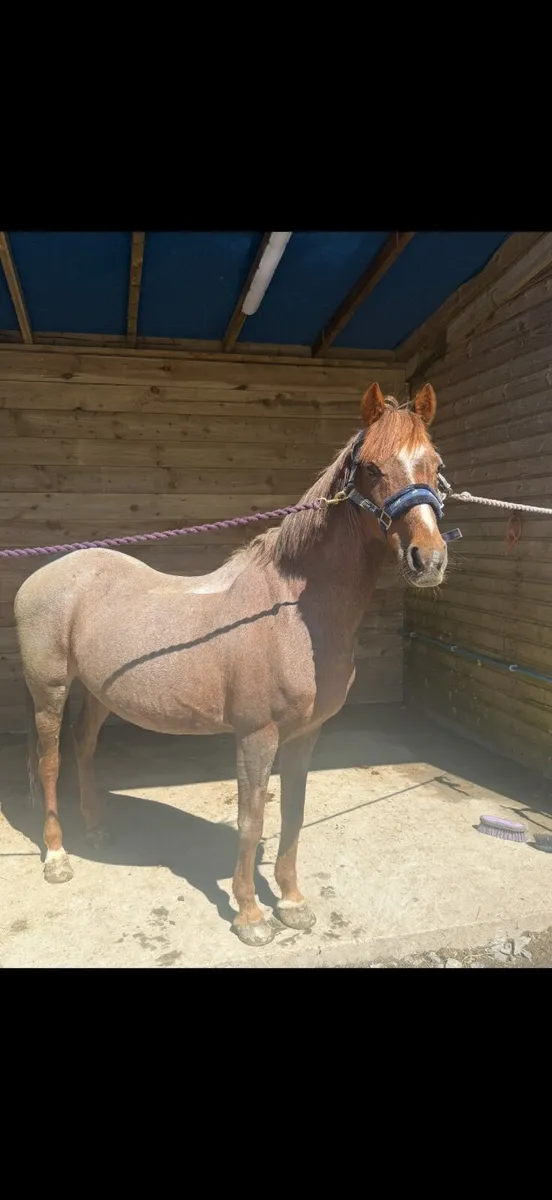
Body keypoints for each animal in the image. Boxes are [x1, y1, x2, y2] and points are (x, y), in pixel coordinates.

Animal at [14, 381, 448, 947]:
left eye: (435, 464)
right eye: (372, 467)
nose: (429, 559)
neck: (291, 610)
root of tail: (42, 575)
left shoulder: (306, 734)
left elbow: (292, 811)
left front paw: (292, 902)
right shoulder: (255, 736)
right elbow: (251, 818)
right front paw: (250, 915)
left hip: (99, 693)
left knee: (84, 749)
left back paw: (96, 830)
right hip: (50, 691)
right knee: (51, 762)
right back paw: (58, 855)